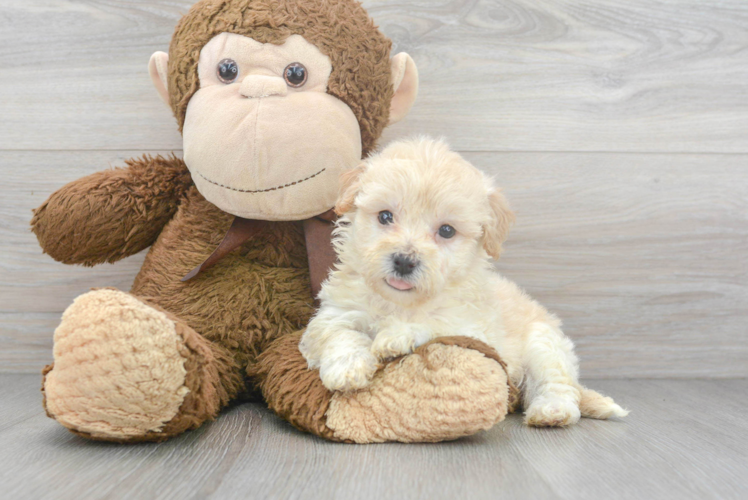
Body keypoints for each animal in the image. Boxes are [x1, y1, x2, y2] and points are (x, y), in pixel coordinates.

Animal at [300, 137, 628, 426]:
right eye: (384, 216)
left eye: (446, 231)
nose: (404, 261)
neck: (401, 303)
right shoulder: (335, 312)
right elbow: (338, 333)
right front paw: (347, 367)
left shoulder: (475, 328)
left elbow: (437, 323)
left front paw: (397, 336)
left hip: (545, 345)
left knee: (557, 386)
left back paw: (551, 411)